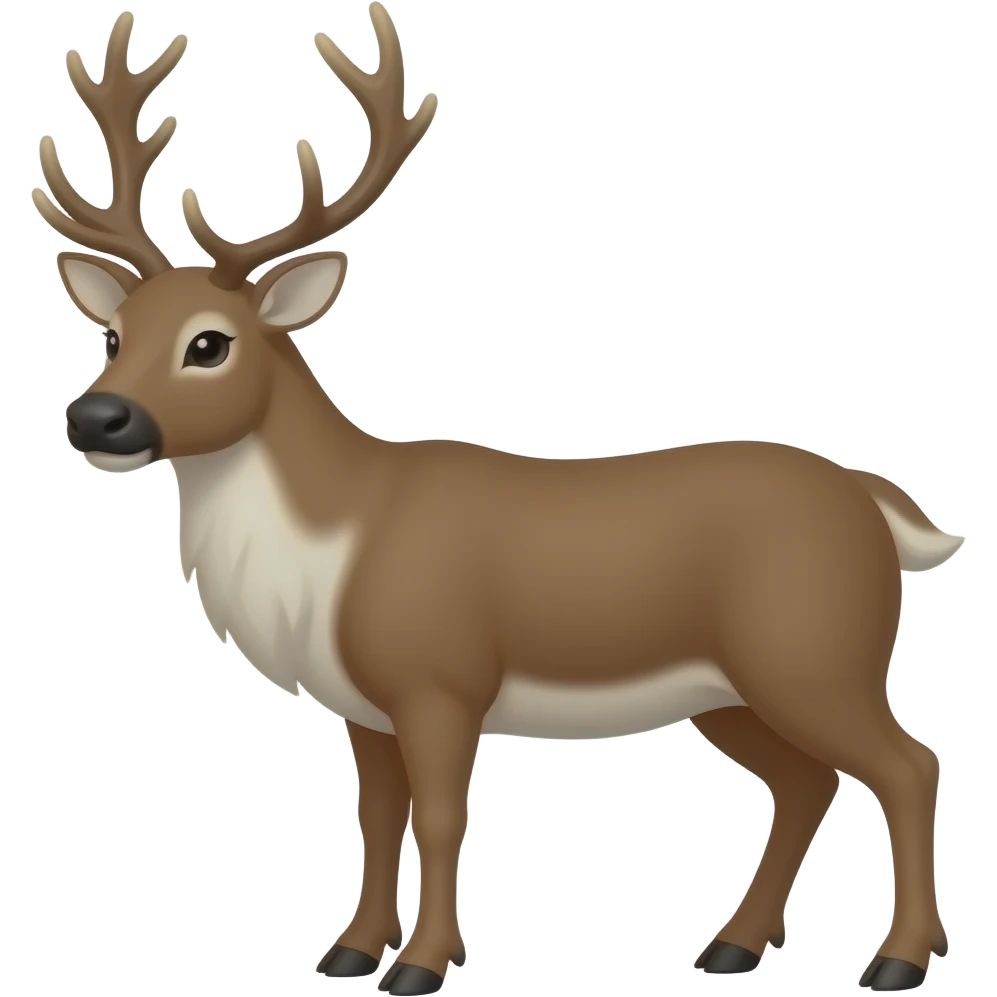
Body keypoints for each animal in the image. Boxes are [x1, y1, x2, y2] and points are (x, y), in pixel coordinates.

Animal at [35, 6, 964, 995]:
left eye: (209, 343)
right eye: (113, 334)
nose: (97, 417)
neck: (337, 540)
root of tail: (870, 500)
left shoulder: (440, 677)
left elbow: (442, 818)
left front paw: (421, 964)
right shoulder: (362, 703)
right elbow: (376, 817)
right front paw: (349, 950)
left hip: (815, 653)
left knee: (909, 765)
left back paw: (898, 958)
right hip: (731, 689)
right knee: (805, 783)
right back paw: (731, 945)